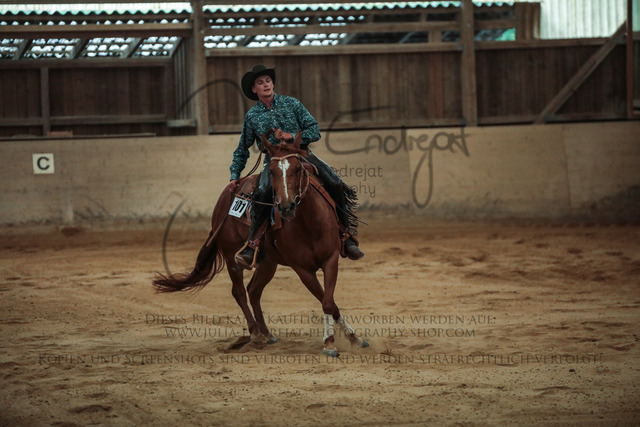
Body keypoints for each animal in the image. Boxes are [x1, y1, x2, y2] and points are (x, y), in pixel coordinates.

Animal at [152, 130, 368, 356]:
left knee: (254, 290)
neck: (309, 222)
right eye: (271, 171)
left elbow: (329, 301)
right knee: (239, 291)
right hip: (231, 255)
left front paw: (353, 338)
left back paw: (266, 332)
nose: (286, 206)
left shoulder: (330, 259)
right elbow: (327, 301)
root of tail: (228, 194)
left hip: (267, 262)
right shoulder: (302, 269)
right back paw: (255, 333)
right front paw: (330, 342)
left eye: (298, 168)